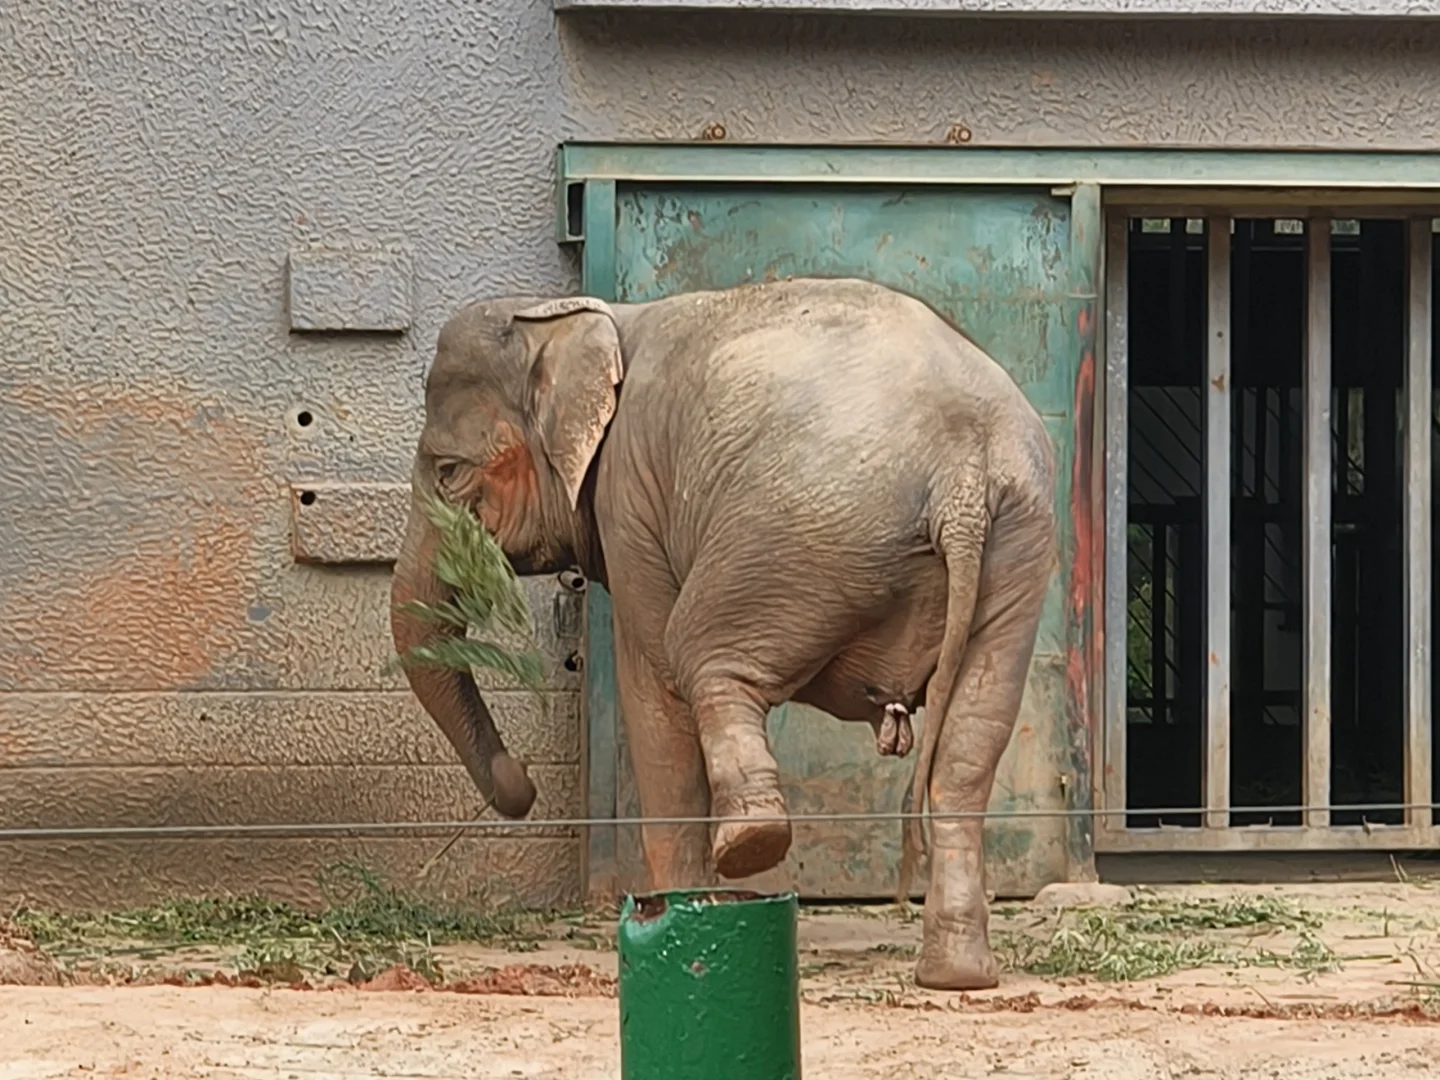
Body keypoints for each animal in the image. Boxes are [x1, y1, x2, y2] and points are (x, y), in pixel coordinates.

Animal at [394, 275, 1059, 996]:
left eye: (449, 472)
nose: (522, 783)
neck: (588, 319)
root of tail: (961, 475)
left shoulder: (628, 495)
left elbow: (652, 684)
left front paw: (677, 916)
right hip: (1017, 546)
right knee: (970, 745)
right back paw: (956, 975)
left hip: (796, 532)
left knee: (699, 655)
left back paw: (751, 841)